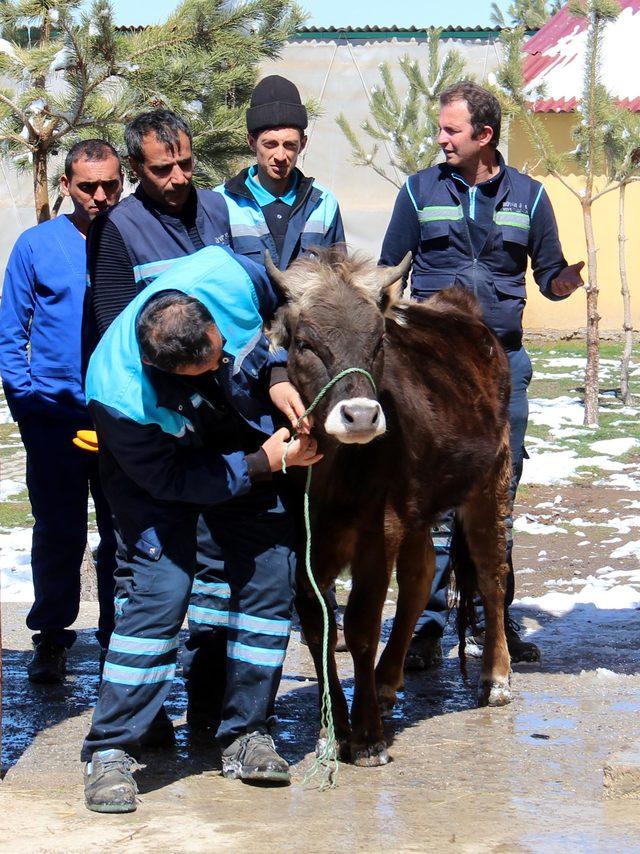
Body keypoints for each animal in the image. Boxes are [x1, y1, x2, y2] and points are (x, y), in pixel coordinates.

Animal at [268, 247, 512, 768]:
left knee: (490, 574)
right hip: (417, 508)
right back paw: (385, 680)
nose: (360, 416)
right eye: (305, 343)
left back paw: (496, 677)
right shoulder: (306, 542)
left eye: (378, 341)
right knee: (421, 579)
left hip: (488, 482)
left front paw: (366, 737)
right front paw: (334, 727)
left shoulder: (377, 535)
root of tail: (460, 308)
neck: (334, 475)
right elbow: (318, 625)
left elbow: (360, 625)